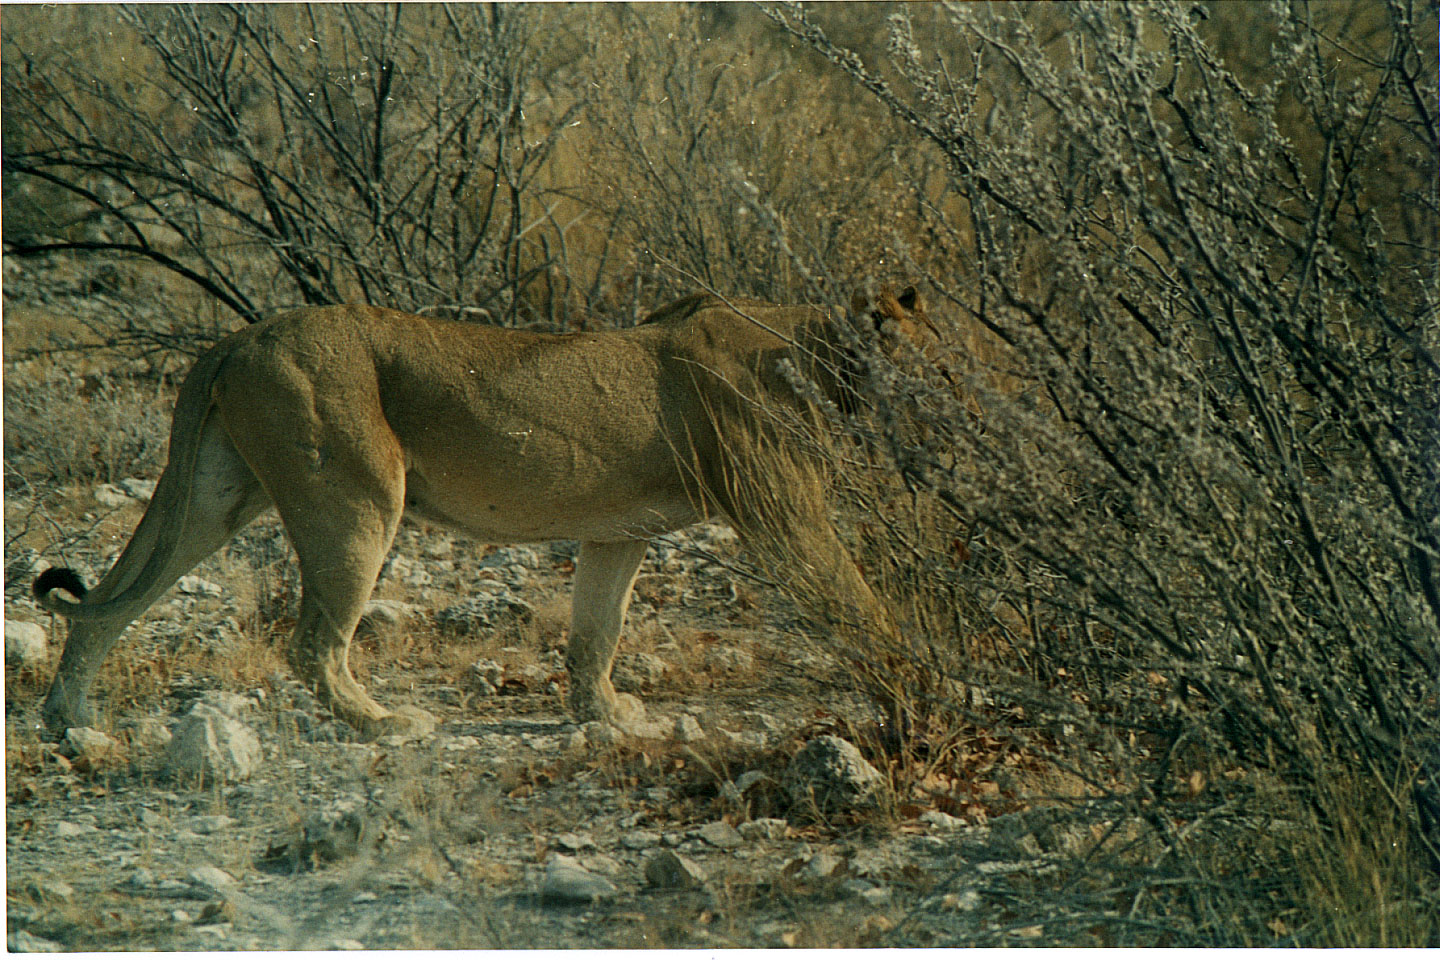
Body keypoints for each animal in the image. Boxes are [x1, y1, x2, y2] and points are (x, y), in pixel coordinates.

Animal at [36, 289, 933, 742]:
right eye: (945, 366)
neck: (809, 349)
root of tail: (239, 337)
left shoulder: (618, 532)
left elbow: (596, 630)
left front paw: (605, 715)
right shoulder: (782, 512)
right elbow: (860, 606)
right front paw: (923, 688)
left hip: (214, 494)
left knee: (110, 600)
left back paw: (68, 718)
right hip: (355, 496)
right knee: (311, 643)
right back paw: (384, 723)